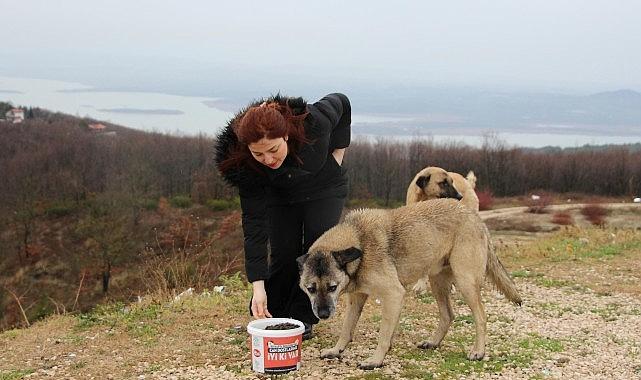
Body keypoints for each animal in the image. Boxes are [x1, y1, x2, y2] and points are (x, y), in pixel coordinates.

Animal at [298, 200, 524, 370]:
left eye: (332, 287)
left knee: (481, 317)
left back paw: (478, 351)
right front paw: (337, 350)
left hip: (465, 282)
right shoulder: (357, 299)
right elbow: (347, 329)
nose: (323, 314)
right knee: (448, 315)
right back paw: (433, 342)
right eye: (311, 289)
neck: (360, 241)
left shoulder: (393, 295)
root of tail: (476, 218)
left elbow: (383, 334)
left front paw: (376, 360)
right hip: (437, 282)